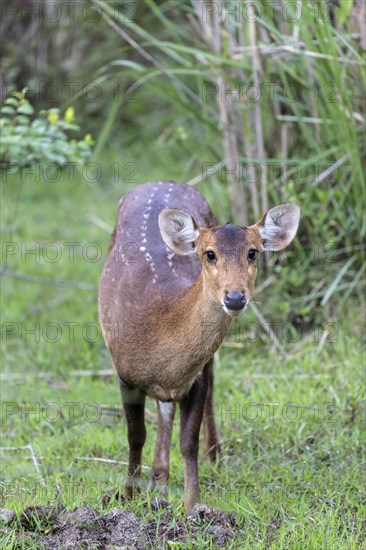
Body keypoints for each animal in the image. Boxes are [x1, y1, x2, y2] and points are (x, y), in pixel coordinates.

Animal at [98, 183, 298, 512]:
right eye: (210, 254)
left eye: (252, 252)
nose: (234, 297)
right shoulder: (124, 372)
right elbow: (135, 435)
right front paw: (128, 496)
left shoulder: (197, 377)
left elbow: (188, 441)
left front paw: (193, 507)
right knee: (164, 407)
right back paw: (158, 477)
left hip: (207, 364)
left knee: (204, 394)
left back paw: (210, 458)